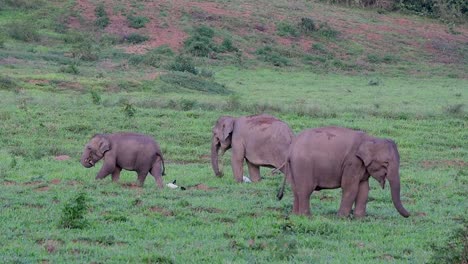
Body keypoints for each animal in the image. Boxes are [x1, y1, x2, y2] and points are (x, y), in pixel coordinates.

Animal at [278, 127, 410, 218]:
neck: (371, 138)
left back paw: (296, 215)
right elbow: (350, 187)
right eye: (386, 163)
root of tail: (291, 149)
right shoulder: (352, 162)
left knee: (296, 190)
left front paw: (359, 219)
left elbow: (364, 188)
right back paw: (307, 217)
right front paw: (341, 218)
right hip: (303, 165)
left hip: (294, 167)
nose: (410, 214)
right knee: (305, 190)